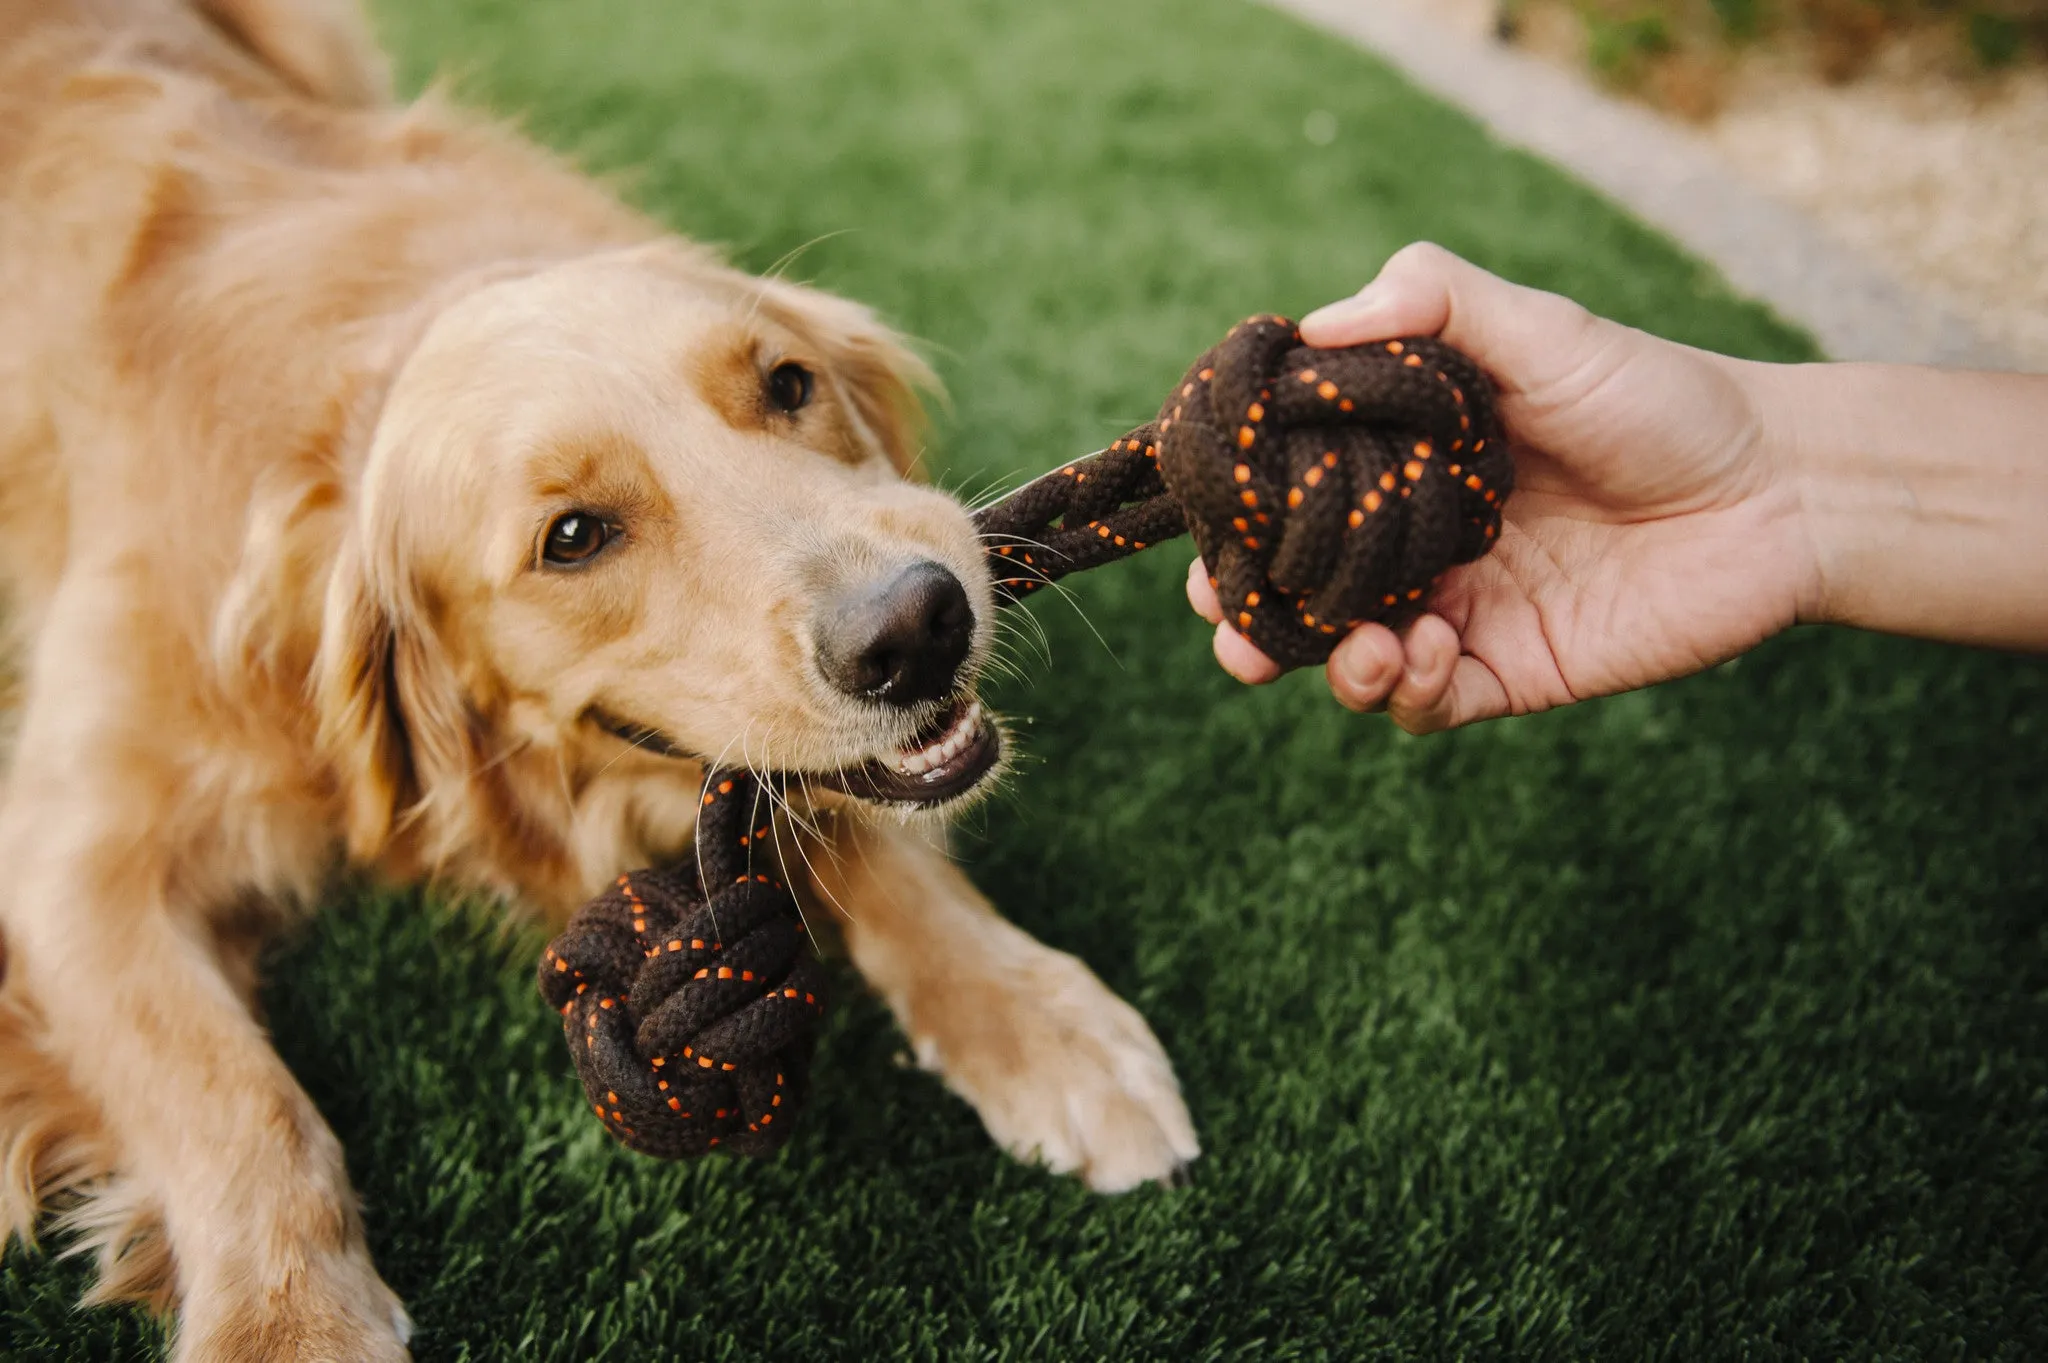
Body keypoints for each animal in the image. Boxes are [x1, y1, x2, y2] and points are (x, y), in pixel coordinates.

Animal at [0, 5, 1196, 1350]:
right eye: (571, 536)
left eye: (788, 384)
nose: (917, 628)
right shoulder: (68, 853)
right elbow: (230, 1089)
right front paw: (289, 1321)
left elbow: (881, 845)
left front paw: (1036, 1016)